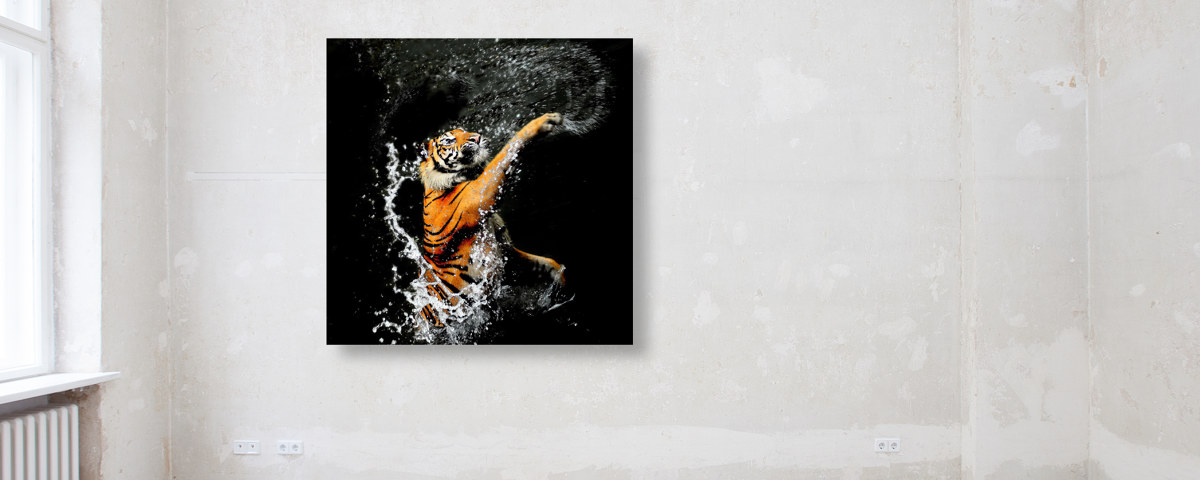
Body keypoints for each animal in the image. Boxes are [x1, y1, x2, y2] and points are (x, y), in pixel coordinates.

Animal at [416, 112, 567, 328]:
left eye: (464, 131)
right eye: (449, 140)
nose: (476, 138)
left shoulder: (507, 253)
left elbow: (549, 263)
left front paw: (560, 286)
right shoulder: (480, 192)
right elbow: (506, 152)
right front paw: (544, 121)